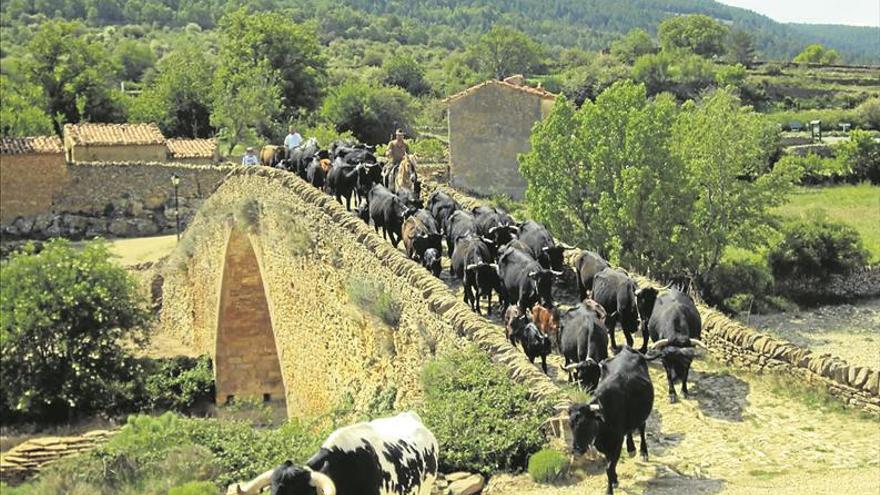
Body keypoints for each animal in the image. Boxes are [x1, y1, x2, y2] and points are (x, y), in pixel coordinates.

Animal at [572, 346, 652, 495]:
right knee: (629, 430)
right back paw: (631, 448)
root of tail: (627, 350)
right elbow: (610, 466)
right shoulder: (604, 446)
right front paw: (615, 480)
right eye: (571, 426)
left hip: (642, 414)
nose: (577, 450)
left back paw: (643, 452)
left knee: (641, 427)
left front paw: (610, 488)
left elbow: (609, 468)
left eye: (586, 424)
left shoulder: (616, 443)